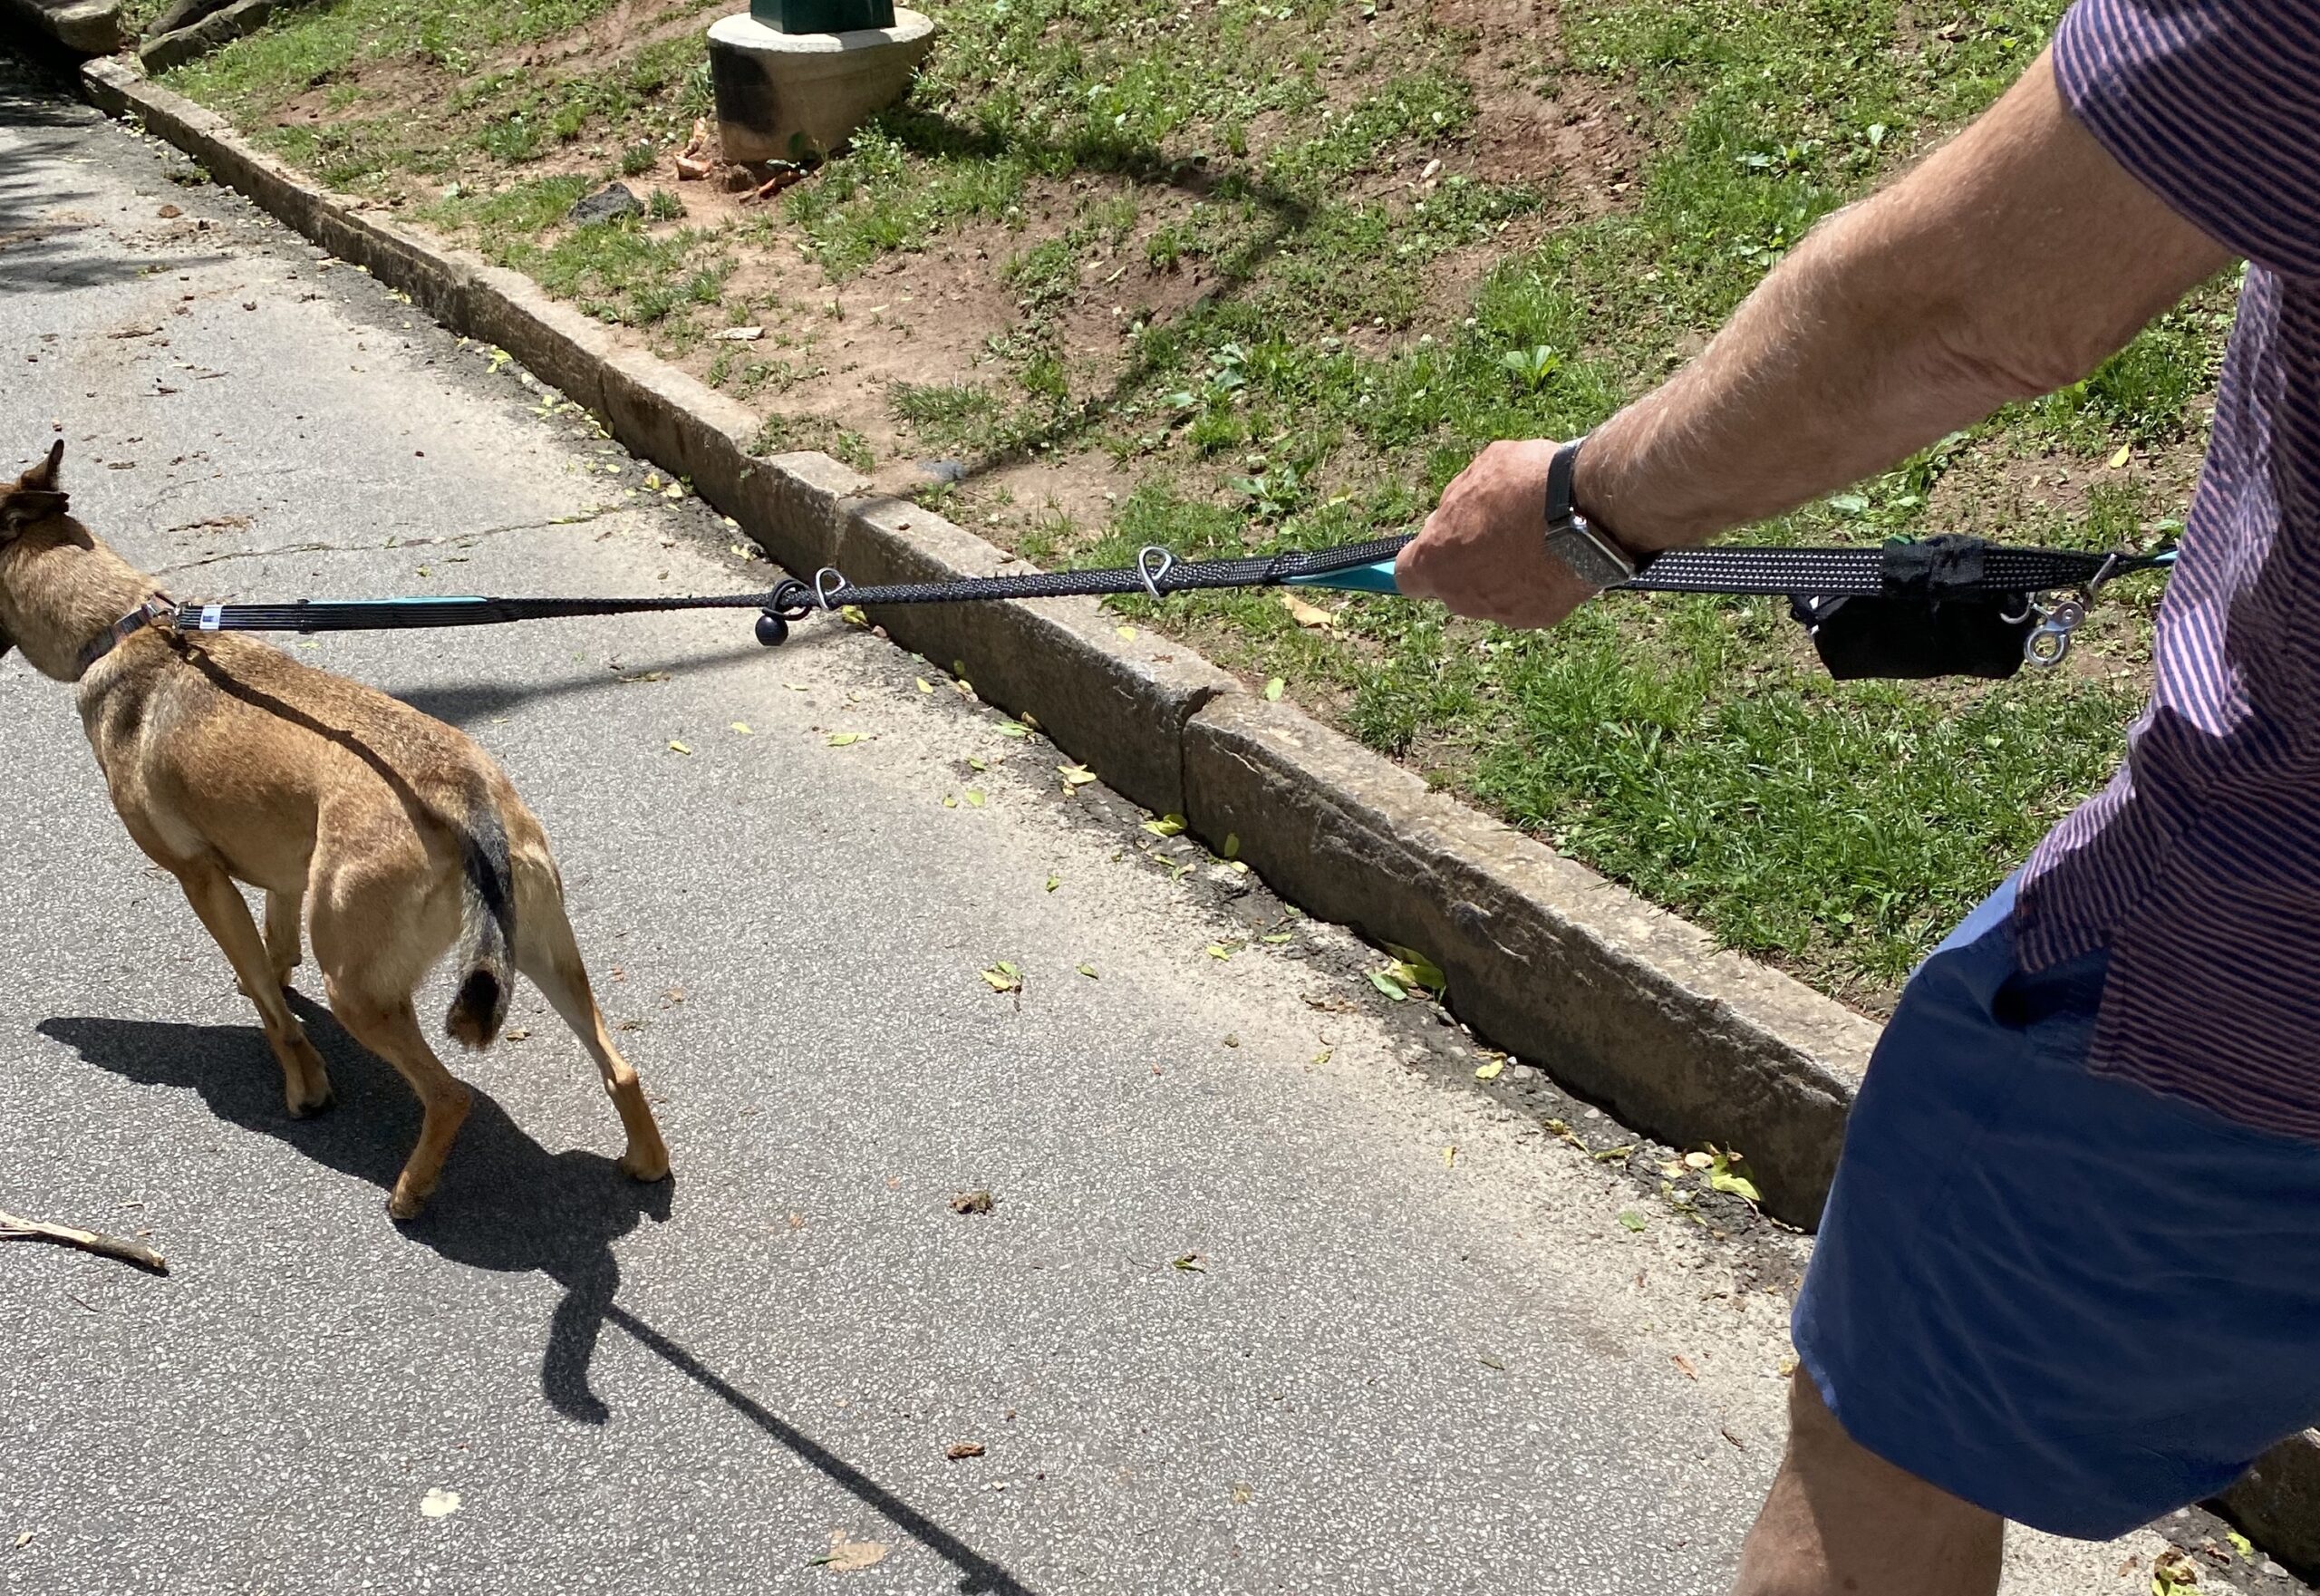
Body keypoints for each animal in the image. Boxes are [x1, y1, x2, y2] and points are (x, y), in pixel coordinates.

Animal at [0, 450, 672, 1224]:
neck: (124, 623)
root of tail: (462, 795)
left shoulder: (201, 878)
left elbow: (272, 1005)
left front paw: (303, 1080)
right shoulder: (285, 878)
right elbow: (272, 954)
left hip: (357, 986)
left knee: (450, 1095)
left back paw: (410, 1192)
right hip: (542, 954)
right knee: (620, 1067)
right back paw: (646, 1160)